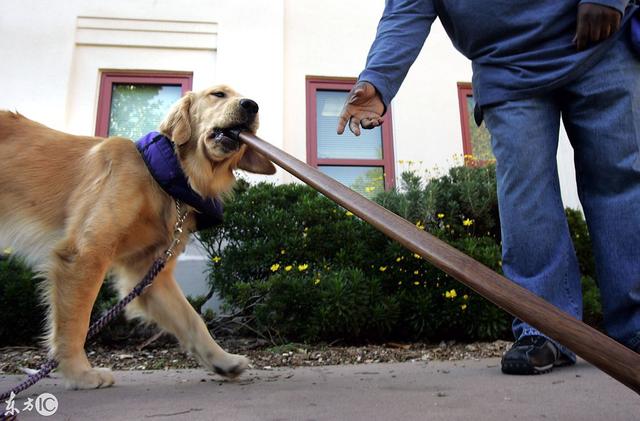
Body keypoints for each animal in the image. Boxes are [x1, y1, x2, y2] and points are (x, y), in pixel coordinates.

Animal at [0, 84, 272, 388]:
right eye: (218, 94)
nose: (252, 106)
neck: (162, 177)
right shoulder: (86, 254)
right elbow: (75, 323)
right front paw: (79, 372)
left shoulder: (149, 274)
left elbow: (193, 320)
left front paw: (222, 360)